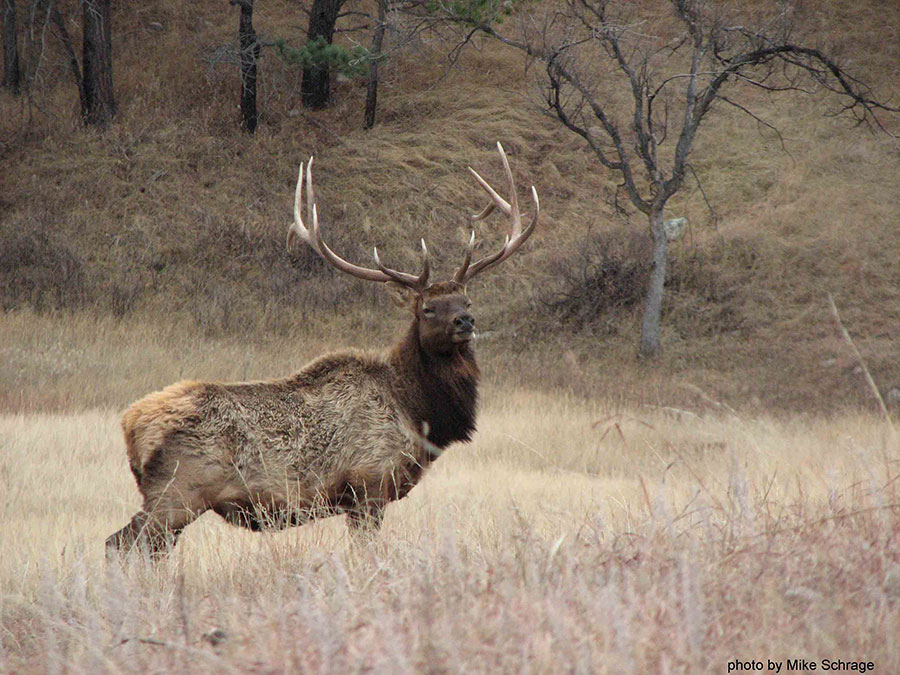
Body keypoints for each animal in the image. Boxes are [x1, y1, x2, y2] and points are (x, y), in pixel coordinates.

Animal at [105, 143, 539, 557]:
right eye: (427, 308)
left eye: (467, 301)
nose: (465, 323)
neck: (416, 411)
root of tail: (130, 423)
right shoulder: (369, 484)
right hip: (177, 493)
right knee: (121, 544)